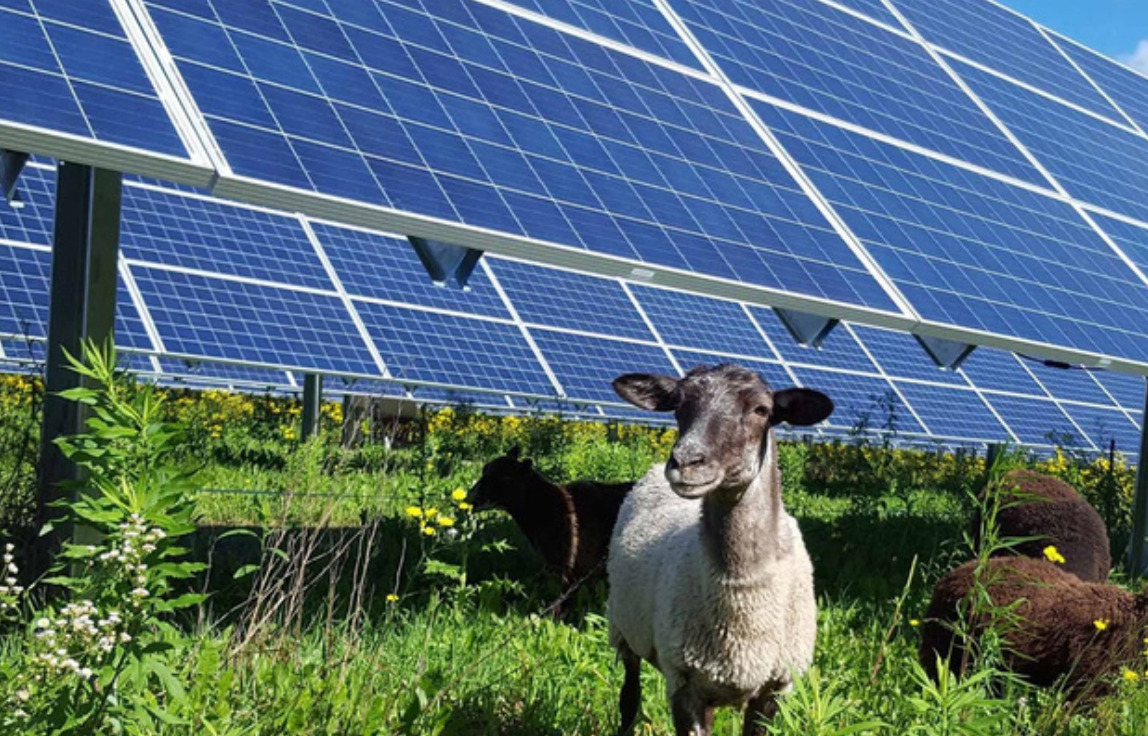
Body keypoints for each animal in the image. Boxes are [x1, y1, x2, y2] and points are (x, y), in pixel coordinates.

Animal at [610, 362, 835, 734]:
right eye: (677, 404)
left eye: (762, 410)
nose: (686, 462)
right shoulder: (683, 682)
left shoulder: (774, 688)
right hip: (624, 629)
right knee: (629, 698)